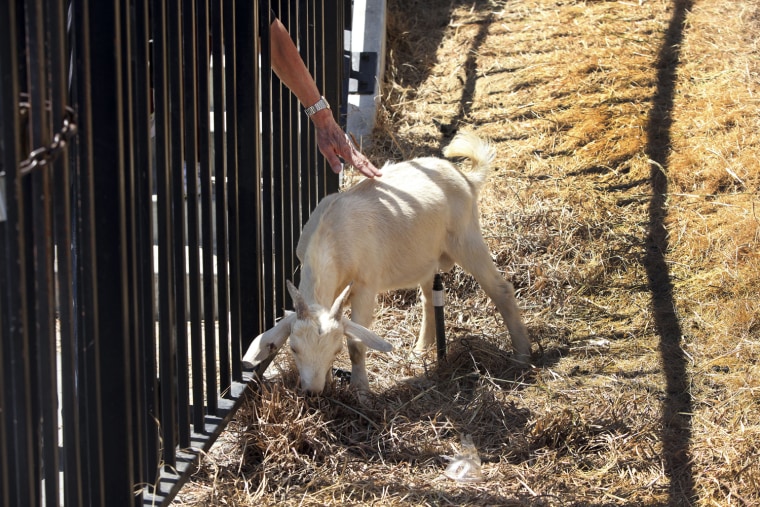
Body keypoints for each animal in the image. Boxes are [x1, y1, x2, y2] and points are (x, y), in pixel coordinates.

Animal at [242, 133, 528, 394]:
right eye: (293, 348)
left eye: (336, 349)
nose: (312, 392)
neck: (333, 234)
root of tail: (466, 178)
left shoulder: (366, 286)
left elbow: (357, 345)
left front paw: (361, 391)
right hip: (426, 257)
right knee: (428, 299)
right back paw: (420, 350)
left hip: (466, 239)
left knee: (501, 289)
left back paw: (522, 356)